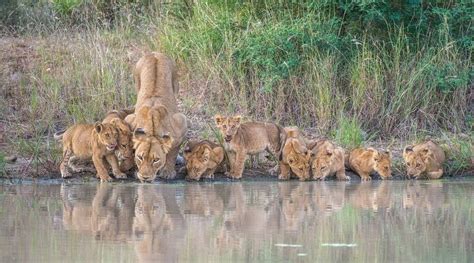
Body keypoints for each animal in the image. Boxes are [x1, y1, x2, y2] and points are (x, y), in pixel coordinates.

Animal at [126, 53, 189, 182]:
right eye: (140, 157)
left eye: (156, 160)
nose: (145, 177)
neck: (152, 130)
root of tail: (155, 54)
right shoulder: (129, 120)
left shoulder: (181, 123)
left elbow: (172, 153)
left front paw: (168, 171)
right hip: (136, 81)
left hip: (175, 84)